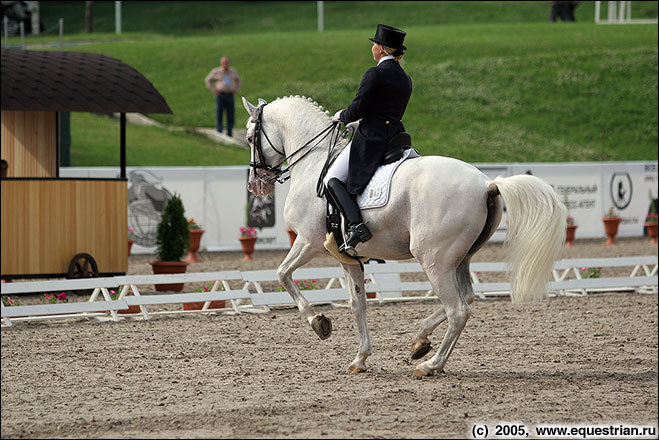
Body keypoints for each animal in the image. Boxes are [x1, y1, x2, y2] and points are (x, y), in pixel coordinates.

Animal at [242, 94, 568, 376]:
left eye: (249, 138)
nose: (255, 185)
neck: (314, 164)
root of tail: (487, 184)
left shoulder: (307, 241)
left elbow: (282, 273)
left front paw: (318, 322)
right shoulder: (347, 258)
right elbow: (358, 304)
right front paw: (360, 359)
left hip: (433, 259)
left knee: (458, 310)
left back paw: (431, 365)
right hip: (460, 258)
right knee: (467, 298)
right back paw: (420, 342)